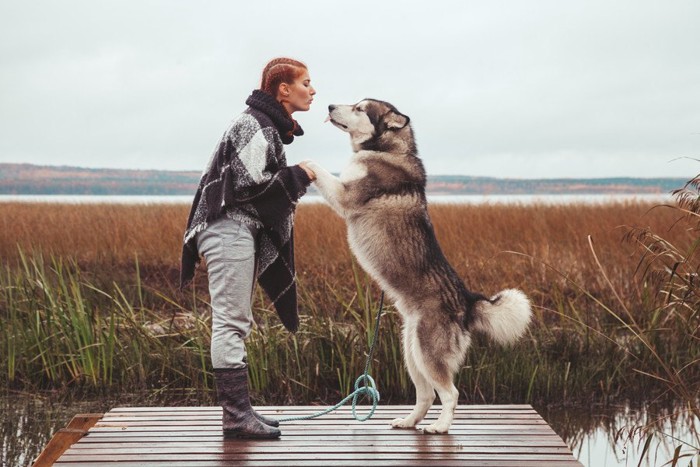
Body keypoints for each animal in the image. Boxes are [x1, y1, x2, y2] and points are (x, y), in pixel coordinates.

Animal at [304, 99, 532, 436]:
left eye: (359, 108)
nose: (330, 105)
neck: (387, 149)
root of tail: (466, 301)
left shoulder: (345, 194)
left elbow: (320, 169)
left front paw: (302, 162)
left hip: (428, 355)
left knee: (450, 394)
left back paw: (440, 426)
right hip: (412, 353)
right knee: (426, 396)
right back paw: (409, 421)